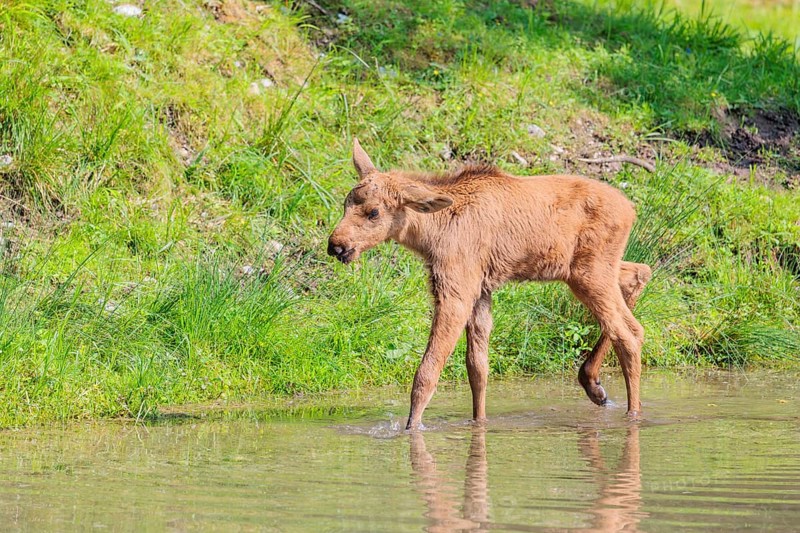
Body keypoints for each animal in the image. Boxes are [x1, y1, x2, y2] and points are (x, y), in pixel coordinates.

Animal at [328, 139, 652, 430]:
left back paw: (633, 413)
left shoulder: (457, 289)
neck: (429, 234)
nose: (336, 246)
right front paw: (479, 422)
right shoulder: (482, 291)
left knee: (629, 332)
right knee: (639, 275)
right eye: (345, 203)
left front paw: (412, 428)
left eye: (374, 212)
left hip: (588, 273)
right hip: (590, 269)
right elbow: (478, 369)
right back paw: (594, 384)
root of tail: (632, 209)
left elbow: (428, 371)